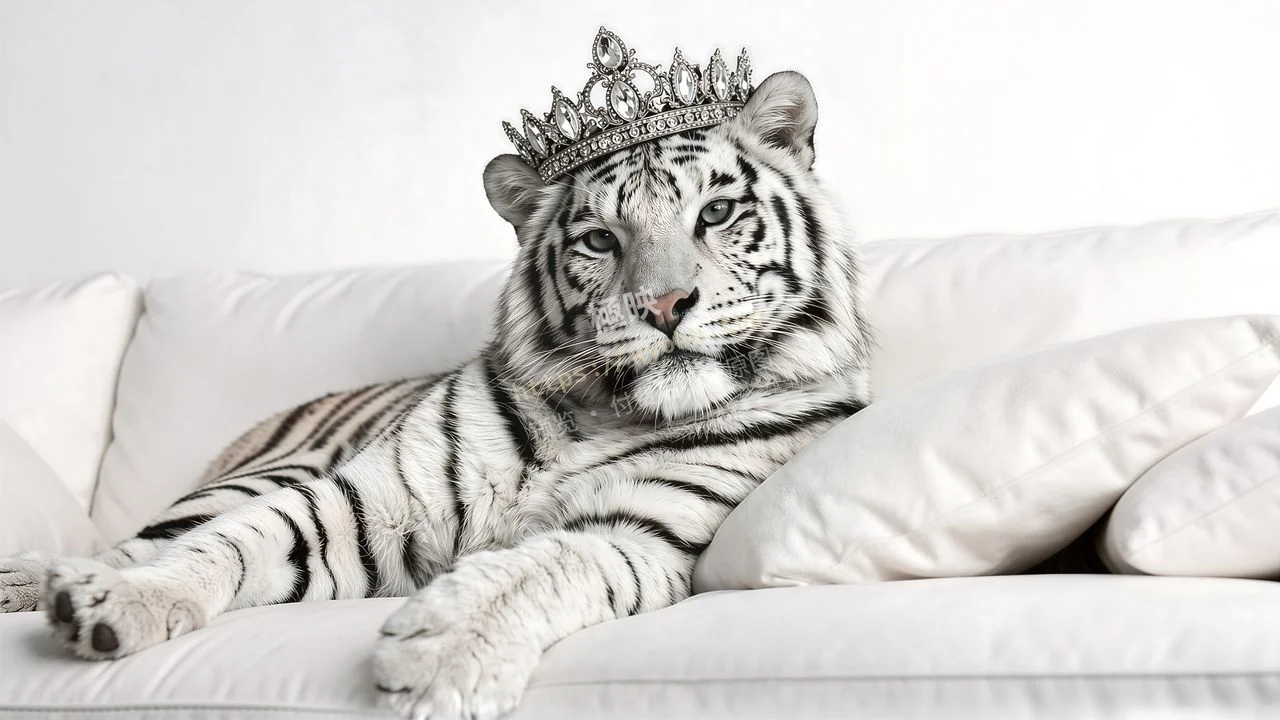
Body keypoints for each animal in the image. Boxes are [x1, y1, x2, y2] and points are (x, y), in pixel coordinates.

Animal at [0, 69, 873, 720]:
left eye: (716, 212)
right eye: (600, 239)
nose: (663, 307)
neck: (607, 409)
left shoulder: (640, 530)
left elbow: (545, 565)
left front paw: (439, 657)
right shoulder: (359, 501)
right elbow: (222, 547)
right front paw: (111, 604)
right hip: (264, 470)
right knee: (142, 537)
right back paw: (36, 581)